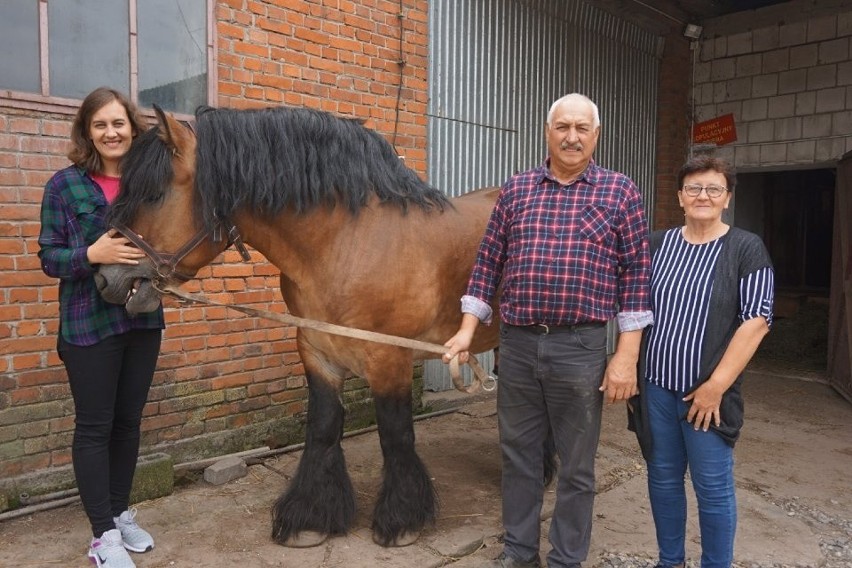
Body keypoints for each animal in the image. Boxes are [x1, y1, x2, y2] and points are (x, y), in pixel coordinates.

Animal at [96, 105, 502, 544]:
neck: (347, 245)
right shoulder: (316, 350)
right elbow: (322, 427)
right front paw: (311, 517)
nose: (104, 277)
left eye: (154, 195)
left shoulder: (388, 356)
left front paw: (402, 521)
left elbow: (395, 434)